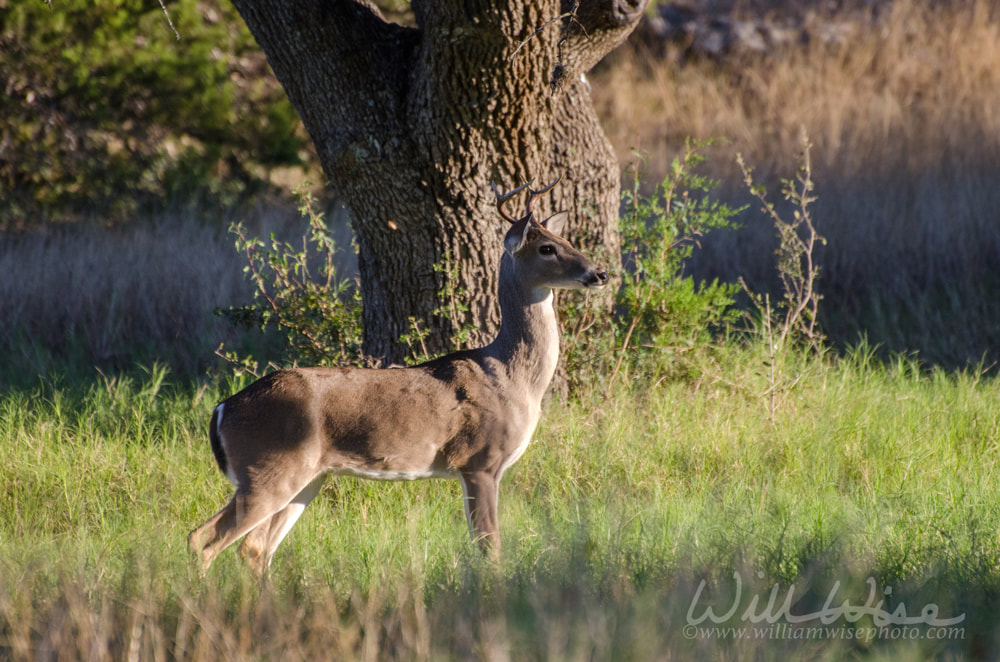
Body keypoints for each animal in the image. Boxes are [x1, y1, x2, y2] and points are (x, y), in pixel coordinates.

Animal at [188, 176, 608, 576]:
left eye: (567, 240)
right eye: (547, 249)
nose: (600, 272)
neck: (511, 376)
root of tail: (222, 408)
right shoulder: (479, 460)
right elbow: (490, 548)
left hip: (303, 478)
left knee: (251, 547)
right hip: (268, 469)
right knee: (206, 540)